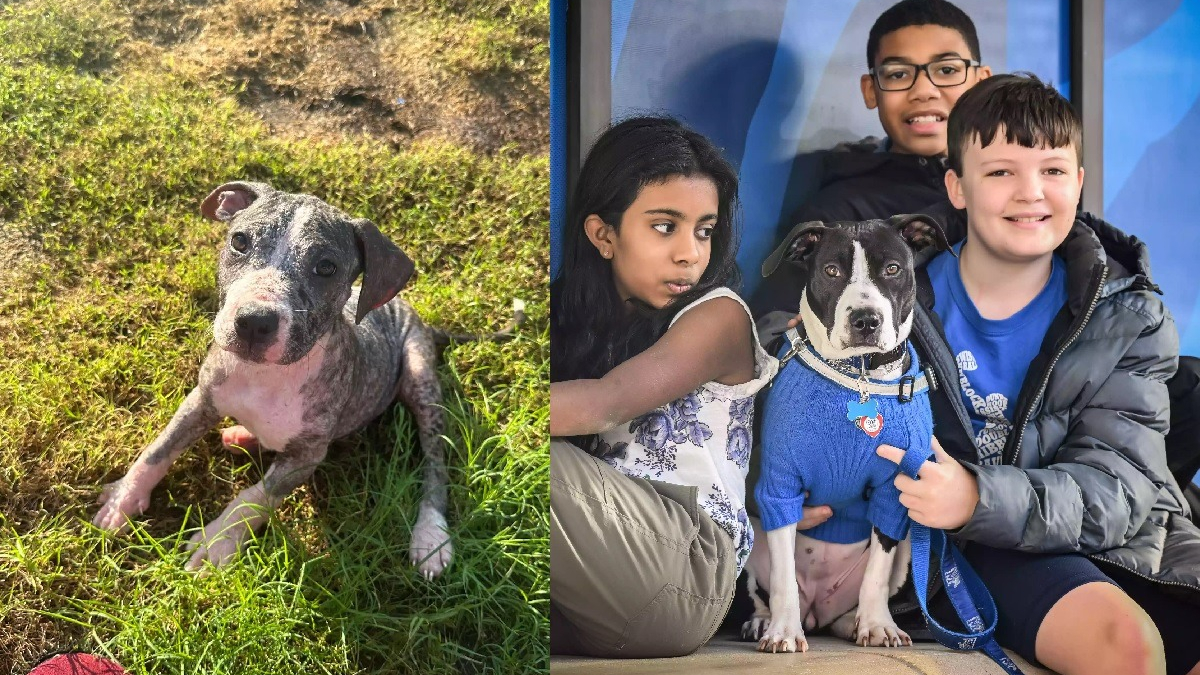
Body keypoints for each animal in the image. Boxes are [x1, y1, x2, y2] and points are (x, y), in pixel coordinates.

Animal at [748, 213, 945, 653]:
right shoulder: (778, 487)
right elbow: (783, 576)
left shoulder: (894, 491)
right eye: (831, 271)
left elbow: (876, 572)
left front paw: (877, 625)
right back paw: (764, 620)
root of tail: (816, 611)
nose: (866, 320)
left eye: (893, 269)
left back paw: (853, 624)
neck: (859, 377)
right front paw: (783, 631)